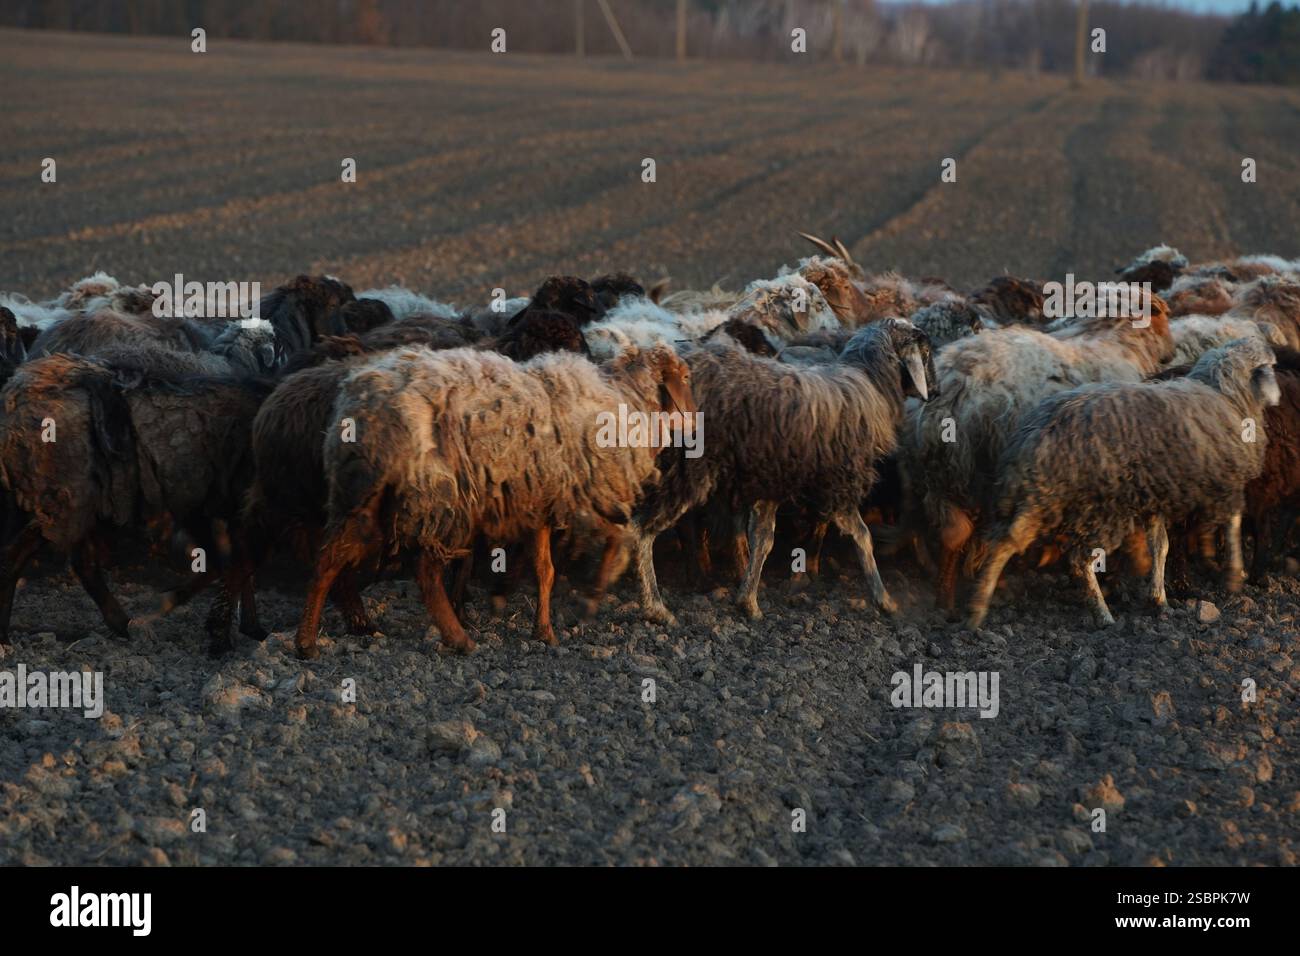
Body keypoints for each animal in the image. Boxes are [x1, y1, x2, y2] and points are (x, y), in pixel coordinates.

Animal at [291, 343, 693, 659]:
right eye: (686, 379)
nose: (695, 426)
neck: (628, 401)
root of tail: (362, 406)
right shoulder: (586, 493)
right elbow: (616, 541)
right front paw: (592, 599)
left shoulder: (540, 501)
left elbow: (545, 571)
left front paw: (543, 630)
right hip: (437, 495)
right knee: (425, 572)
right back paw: (459, 640)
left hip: (362, 492)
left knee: (328, 559)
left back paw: (307, 642)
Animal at [629, 319, 937, 624]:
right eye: (925, 352)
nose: (934, 391)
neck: (870, 382)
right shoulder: (839, 485)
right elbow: (863, 537)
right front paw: (884, 600)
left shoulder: (772, 486)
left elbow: (763, 540)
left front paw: (748, 602)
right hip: (685, 470)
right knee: (642, 530)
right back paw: (655, 606)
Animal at [902, 293, 1174, 615]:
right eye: (1163, 316)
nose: (1172, 353)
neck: (1116, 340)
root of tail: (957, 384)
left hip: (941, 473)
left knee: (952, 534)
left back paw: (945, 599)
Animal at [967, 338, 1278, 628]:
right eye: (1271, 367)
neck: (1226, 395)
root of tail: (1036, 435)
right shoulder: (1225, 482)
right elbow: (1233, 523)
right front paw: (1234, 576)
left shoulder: (1154, 499)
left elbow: (1160, 546)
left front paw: (1159, 599)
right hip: (1099, 507)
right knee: (1078, 560)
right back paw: (1103, 616)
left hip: (1040, 496)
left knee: (1003, 541)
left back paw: (977, 608)